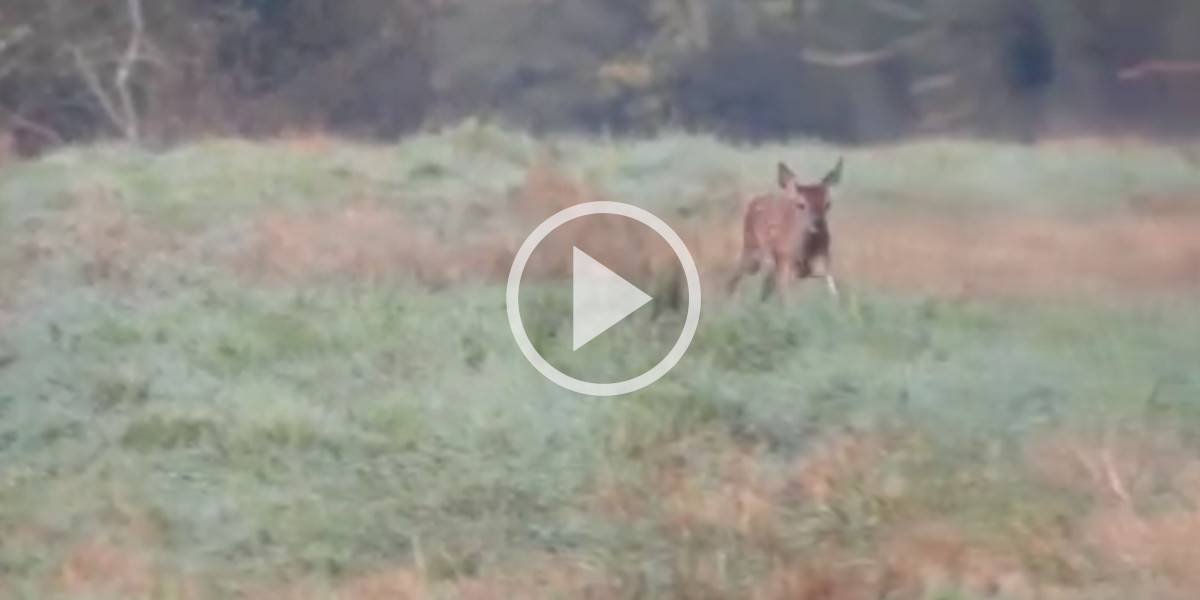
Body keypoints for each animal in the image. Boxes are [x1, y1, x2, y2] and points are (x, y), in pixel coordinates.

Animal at [720, 158, 844, 300]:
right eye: (801, 204)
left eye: (828, 204)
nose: (818, 224)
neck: (805, 254)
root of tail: (754, 200)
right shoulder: (785, 266)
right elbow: (786, 300)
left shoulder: (824, 263)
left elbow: (834, 294)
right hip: (751, 247)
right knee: (738, 270)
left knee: (764, 283)